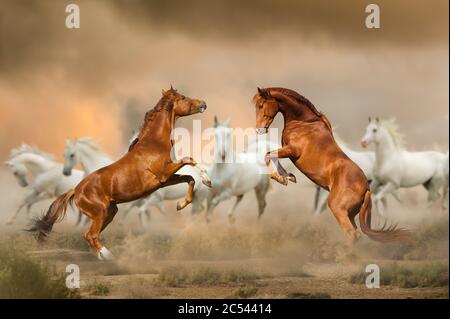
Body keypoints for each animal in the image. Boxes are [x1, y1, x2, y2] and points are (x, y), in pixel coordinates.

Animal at [29, 87, 209, 260]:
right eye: (183, 97)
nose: (204, 103)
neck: (153, 144)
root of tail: (76, 190)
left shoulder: (164, 180)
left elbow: (190, 178)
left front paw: (182, 204)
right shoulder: (165, 173)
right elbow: (190, 160)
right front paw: (207, 180)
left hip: (109, 212)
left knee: (90, 236)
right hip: (100, 213)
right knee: (90, 235)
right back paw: (110, 257)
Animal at [253, 86, 412, 244]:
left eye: (261, 105)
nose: (259, 130)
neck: (304, 122)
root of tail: (366, 188)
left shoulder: (292, 150)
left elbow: (268, 155)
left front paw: (283, 178)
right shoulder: (287, 150)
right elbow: (271, 156)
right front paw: (289, 176)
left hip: (337, 209)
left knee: (352, 234)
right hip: (350, 214)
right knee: (356, 234)